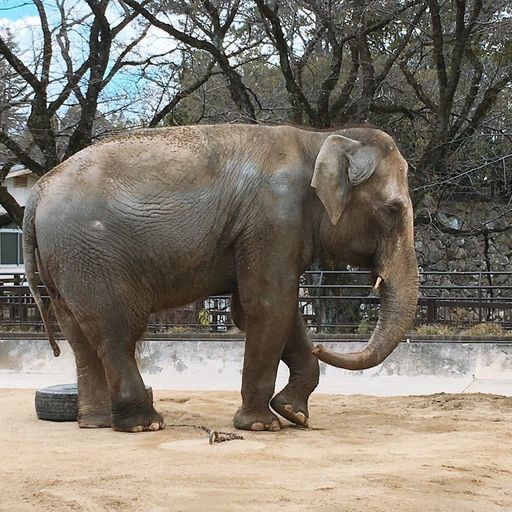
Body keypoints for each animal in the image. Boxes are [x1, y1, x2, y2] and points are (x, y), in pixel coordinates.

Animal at [22, 123, 418, 432]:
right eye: (392, 210)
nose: (323, 346)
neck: (318, 138)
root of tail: (37, 193)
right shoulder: (273, 220)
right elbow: (269, 307)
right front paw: (261, 425)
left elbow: (268, 310)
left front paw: (294, 413)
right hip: (92, 257)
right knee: (118, 333)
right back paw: (144, 424)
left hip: (67, 261)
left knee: (79, 336)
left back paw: (96, 422)